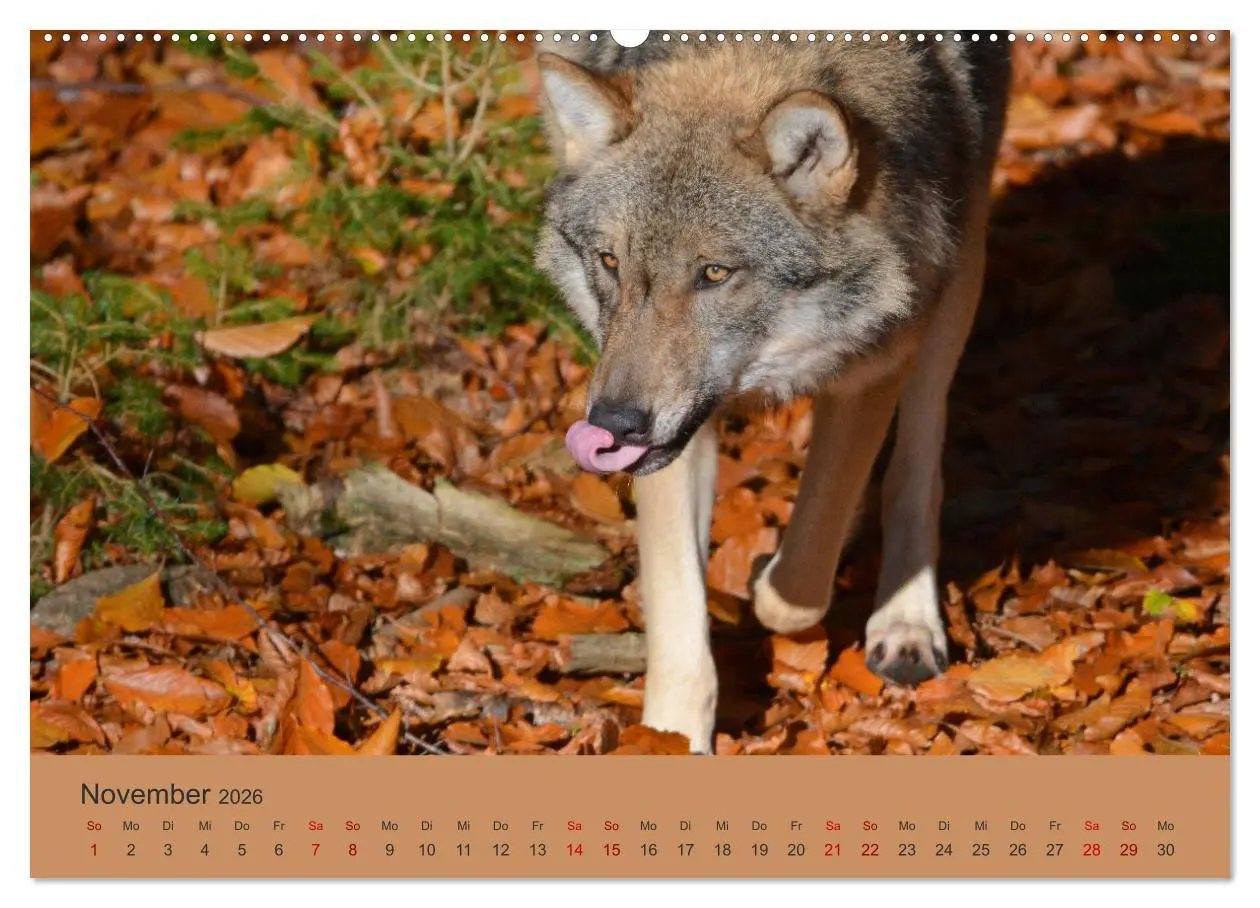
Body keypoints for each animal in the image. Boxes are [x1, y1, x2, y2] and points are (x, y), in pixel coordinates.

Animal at [533, 34, 1010, 752]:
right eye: (611, 262)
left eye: (713, 273)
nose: (611, 424)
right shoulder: (671, 444)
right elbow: (679, 622)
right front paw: (673, 737)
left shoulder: (873, 365)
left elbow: (796, 585)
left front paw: (772, 576)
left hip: (957, 277)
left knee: (918, 461)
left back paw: (905, 622)